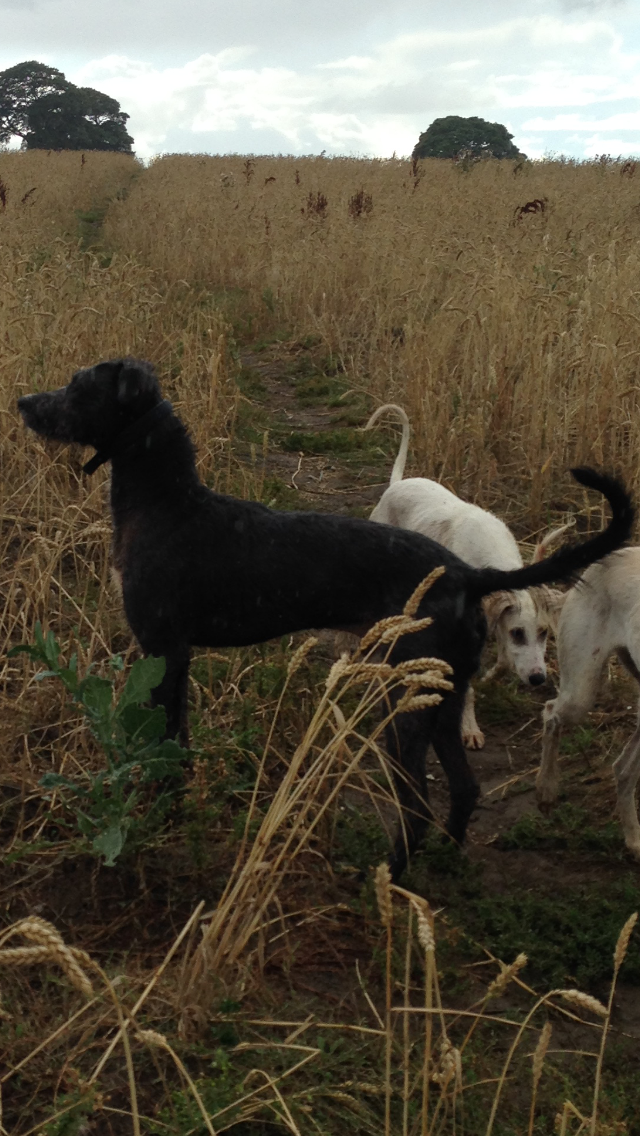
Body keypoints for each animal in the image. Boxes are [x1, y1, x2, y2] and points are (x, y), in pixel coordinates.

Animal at [365, 404, 570, 748]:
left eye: (544, 633)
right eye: (518, 632)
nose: (538, 678)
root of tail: (397, 484)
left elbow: (502, 661)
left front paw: (491, 677)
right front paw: (469, 727)